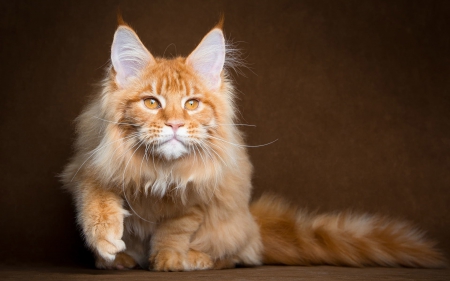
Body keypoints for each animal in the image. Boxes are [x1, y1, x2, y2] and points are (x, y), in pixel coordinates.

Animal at [61, 18, 444, 272]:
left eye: (191, 104)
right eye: (152, 103)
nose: (175, 124)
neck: (162, 170)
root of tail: (254, 228)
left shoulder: (197, 196)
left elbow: (175, 229)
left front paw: (169, 260)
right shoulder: (90, 161)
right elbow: (97, 197)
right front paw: (106, 241)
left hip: (233, 226)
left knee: (234, 256)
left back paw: (197, 259)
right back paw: (120, 261)